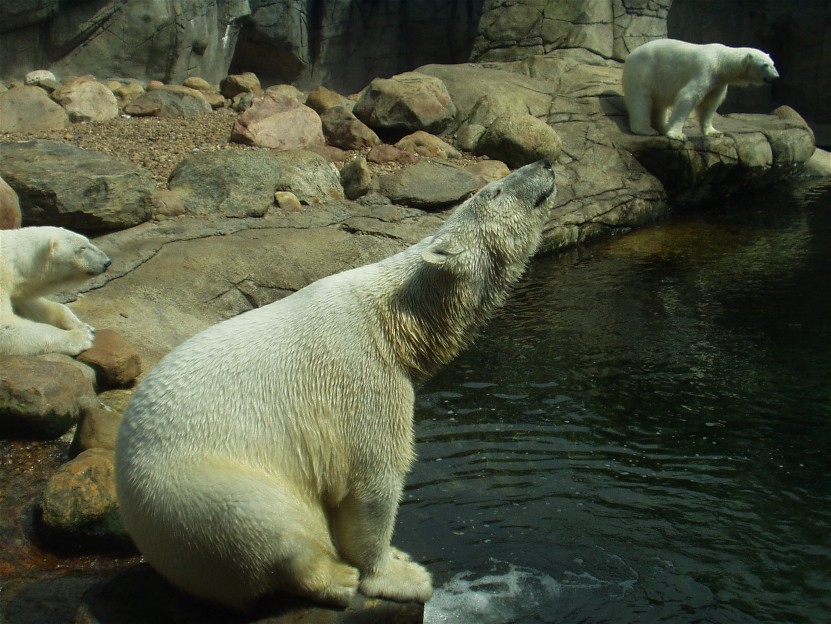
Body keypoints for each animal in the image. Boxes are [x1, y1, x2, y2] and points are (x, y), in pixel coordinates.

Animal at [0, 226, 111, 356]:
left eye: (88, 241)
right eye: (82, 248)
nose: (107, 262)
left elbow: (35, 305)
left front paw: (85, 326)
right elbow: (5, 326)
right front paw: (83, 337)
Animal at [115, 159, 558, 611]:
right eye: (493, 191)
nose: (544, 163)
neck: (397, 321)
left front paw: (397, 557)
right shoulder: (362, 380)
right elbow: (374, 478)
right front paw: (399, 575)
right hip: (192, 494)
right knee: (267, 524)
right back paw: (337, 577)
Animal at [622, 39, 779, 140]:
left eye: (773, 63)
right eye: (765, 65)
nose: (776, 77)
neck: (721, 62)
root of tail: (631, 54)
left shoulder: (718, 82)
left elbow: (710, 103)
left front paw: (714, 132)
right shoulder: (705, 70)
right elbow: (688, 97)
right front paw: (677, 135)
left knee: (660, 104)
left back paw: (662, 126)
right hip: (643, 71)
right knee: (640, 100)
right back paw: (646, 130)